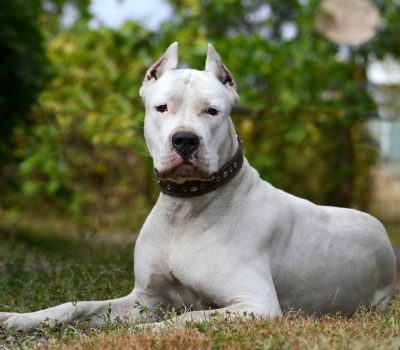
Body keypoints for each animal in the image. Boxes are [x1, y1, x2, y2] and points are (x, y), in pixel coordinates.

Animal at [0, 42, 396, 330]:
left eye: (212, 111)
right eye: (161, 108)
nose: (185, 140)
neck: (186, 208)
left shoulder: (256, 304)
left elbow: (184, 319)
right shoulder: (144, 298)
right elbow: (77, 305)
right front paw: (21, 318)